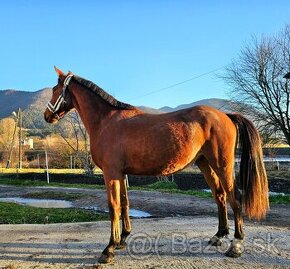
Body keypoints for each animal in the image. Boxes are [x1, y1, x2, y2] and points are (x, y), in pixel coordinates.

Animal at [43, 66, 270, 262]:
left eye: (54, 90)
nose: (46, 116)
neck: (106, 121)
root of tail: (226, 116)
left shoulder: (111, 173)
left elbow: (113, 206)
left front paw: (109, 249)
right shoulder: (121, 173)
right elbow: (125, 203)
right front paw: (123, 239)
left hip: (222, 164)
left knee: (234, 197)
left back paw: (236, 245)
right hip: (205, 163)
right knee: (220, 196)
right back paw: (219, 236)